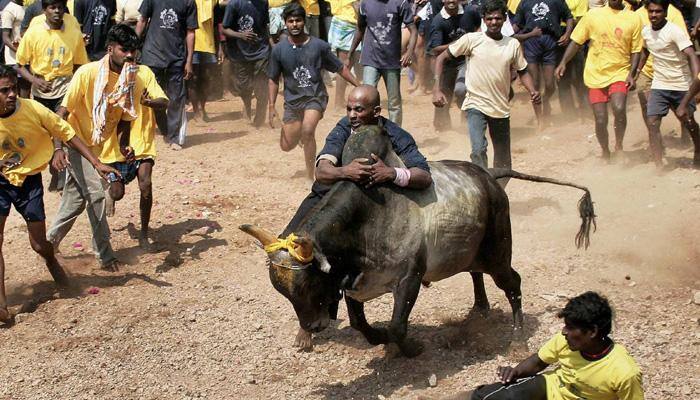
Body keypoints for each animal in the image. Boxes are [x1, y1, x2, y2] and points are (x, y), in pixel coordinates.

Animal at [241, 125, 596, 356]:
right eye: (285, 293)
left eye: (311, 283)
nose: (313, 326)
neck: (366, 217)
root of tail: (488, 176)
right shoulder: (355, 282)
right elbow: (359, 324)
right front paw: (380, 339)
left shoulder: (408, 278)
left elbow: (398, 326)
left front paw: (409, 346)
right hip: (471, 251)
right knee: (475, 272)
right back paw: (479, 307)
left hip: (498, 253)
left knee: (512, 284)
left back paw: (518, 339)